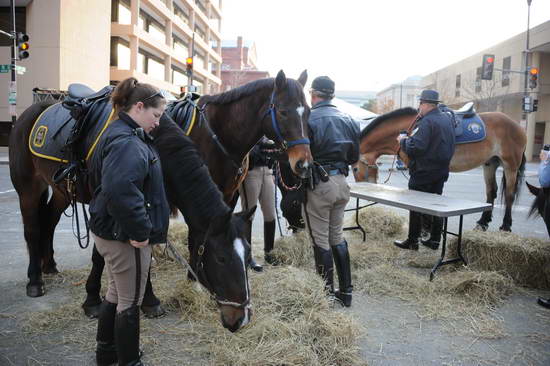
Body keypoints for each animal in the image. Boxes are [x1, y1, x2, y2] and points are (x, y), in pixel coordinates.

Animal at [10, 100, 256, 332]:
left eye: (247, 255)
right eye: (221, 258)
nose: (240, 319)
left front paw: (146, 299)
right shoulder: (112, 206)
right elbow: (104, 255)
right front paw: (94, 300)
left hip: (62, 191)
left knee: (49, 222)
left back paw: (50, 265)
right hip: (28, 189)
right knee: (32, 230)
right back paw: (35, 280)